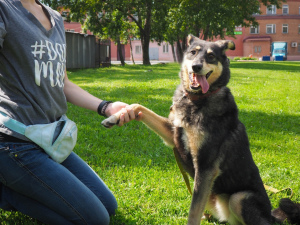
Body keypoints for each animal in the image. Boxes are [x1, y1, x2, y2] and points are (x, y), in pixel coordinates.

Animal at [101, 35, 300, 225]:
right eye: (193, 52)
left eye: (211, 56)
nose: (196, 67)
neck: (196, 100)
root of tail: (271, 215)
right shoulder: (173, 134)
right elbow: (138, 106)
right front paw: (116, 116)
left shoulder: (205, 167)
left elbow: (193, 212)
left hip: (239, 198)